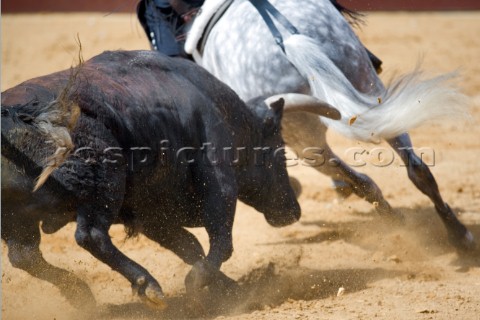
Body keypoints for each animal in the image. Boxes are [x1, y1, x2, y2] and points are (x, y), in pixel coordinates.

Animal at [0, 50, 322, 308]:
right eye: (278, 149)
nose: (293, 211)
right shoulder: (219, 179)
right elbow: (221, 240)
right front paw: (199, 280)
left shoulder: (150, 213)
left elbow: (189, 245)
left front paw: (228, 288)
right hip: (105, 185)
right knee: (90, 235)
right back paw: (148, 285)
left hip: (16, 219)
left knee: (24, 256)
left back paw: (81, 296)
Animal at [181, 0, 476, 250]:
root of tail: (289, 40)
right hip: (368, 82)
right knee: (416, 167)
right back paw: (459, 235)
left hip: (302, 138)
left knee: (360, 180)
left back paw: (395, 221)